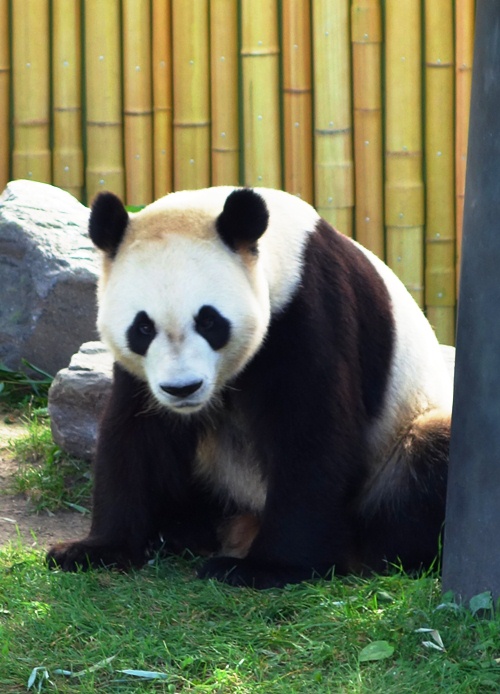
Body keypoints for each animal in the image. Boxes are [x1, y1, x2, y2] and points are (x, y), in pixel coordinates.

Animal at [47, 186, 452, 589]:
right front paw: (94, 550)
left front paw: (269, 568)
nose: (183, 388)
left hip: (397, 441)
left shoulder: (310, 307)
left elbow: (309, 431)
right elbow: (137, 435)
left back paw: (385, 551)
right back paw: (184, 531)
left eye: (209, 321)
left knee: (432, 453)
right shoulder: (142, 375)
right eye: (143, 327)